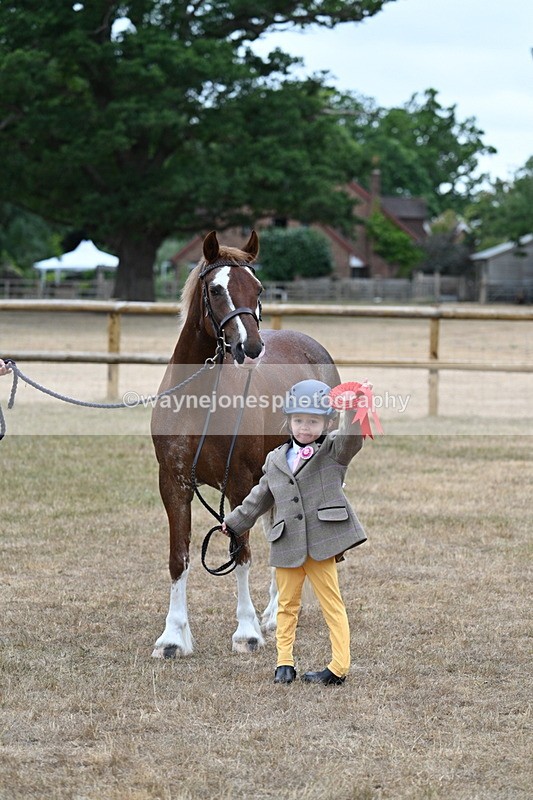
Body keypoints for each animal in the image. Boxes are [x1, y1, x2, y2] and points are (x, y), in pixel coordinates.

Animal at [151, 230, 340, 658]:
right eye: (216, 289)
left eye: (258, 288)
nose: (249, 347)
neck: (199, 402)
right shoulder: (173, 483)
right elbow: (178, 557)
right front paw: (173, 637)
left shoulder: (237, 483)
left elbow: (241, 554)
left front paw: (247, 632)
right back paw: (274, 613)